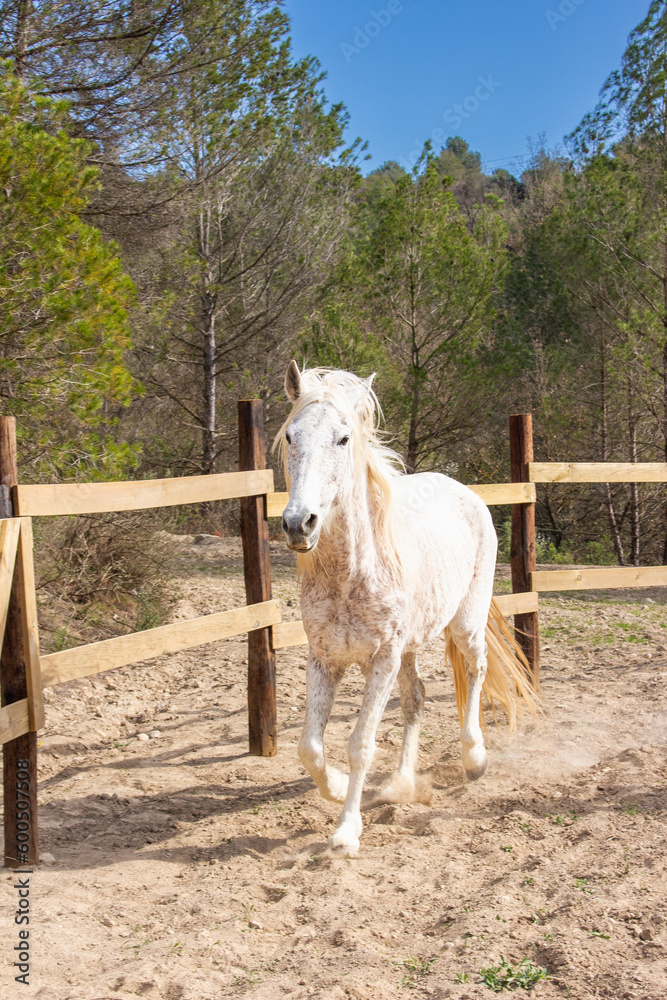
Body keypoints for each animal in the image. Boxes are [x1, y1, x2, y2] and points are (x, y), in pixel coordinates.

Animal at [275, 361, 539, 856]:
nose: (299, 523)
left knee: (476, 669)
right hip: (409, 648)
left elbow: (360, 743)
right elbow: (309, 748)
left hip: (464, 625)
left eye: (344, 438)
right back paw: (401, 783)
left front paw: (346, 831)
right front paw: (335, 788)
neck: (350, 574)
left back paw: (474, 757)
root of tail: (464, 490)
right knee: (415, 698)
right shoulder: (325, 659)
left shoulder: (382, 658)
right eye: (290, 436)